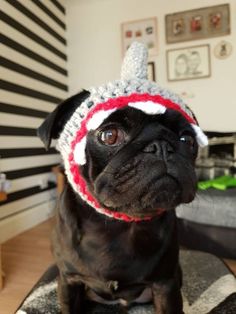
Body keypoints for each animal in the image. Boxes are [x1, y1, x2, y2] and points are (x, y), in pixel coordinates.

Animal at [37, 42, 206, 314]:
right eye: (109, 136)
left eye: (187, 139)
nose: (161, 146)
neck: (118, 226)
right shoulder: (68, 281)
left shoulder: (166, 284)